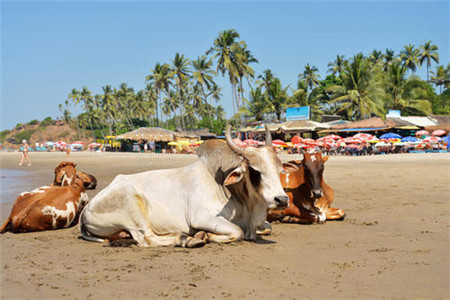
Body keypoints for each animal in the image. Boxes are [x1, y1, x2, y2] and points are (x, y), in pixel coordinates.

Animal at [79, 125, 290, 247]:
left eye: (279, 169)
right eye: (255, 170)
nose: (282, 199)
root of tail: (86, 210)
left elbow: (267, 227)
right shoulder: (202, 217)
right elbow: (237, 232)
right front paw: (206, 236)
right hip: (132, 205)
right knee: (146, 238)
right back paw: (185, 239)